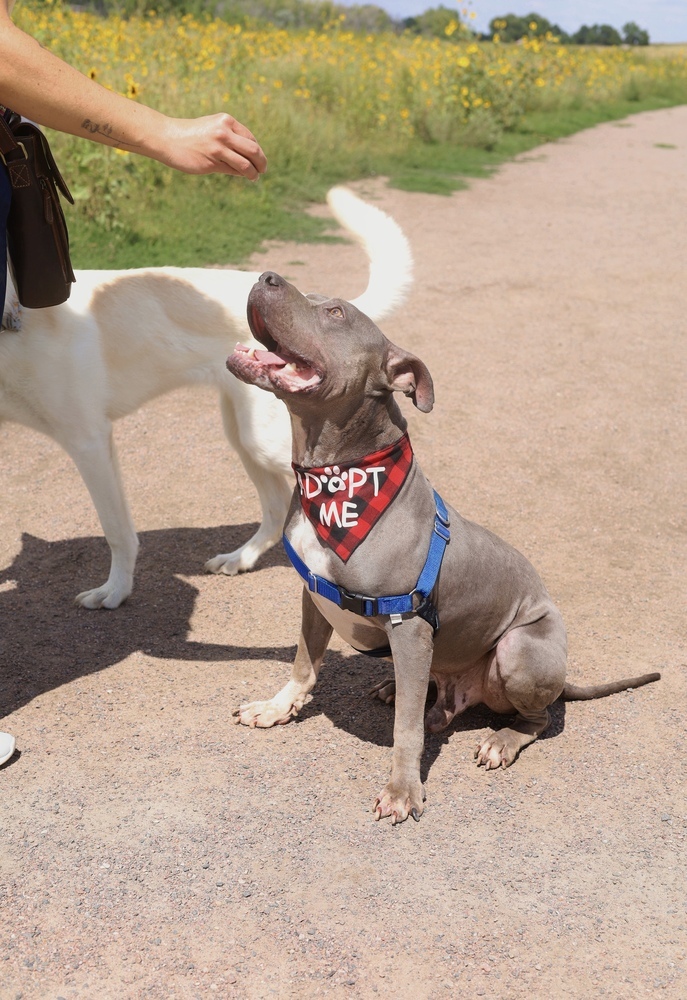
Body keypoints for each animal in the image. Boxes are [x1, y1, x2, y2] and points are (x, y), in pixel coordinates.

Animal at [0, 188, 412, 608]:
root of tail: (308, 303)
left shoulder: (89, 441)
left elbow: (116, 531)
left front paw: (115, 591)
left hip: (266, 441)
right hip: (242, 436)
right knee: (276, 507)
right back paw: (240, 558)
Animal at [228, 270, 664, 824]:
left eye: (337, 313)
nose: (265, 276)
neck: (336, 478)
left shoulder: (409, 625)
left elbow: (406, 731)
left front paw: (402, 790)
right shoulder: (314, 597)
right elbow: (304, 665)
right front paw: (275, 707)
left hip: (519, 649)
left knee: (536, 717)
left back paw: (501, 739)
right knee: (430, 698)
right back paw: (398, 687)